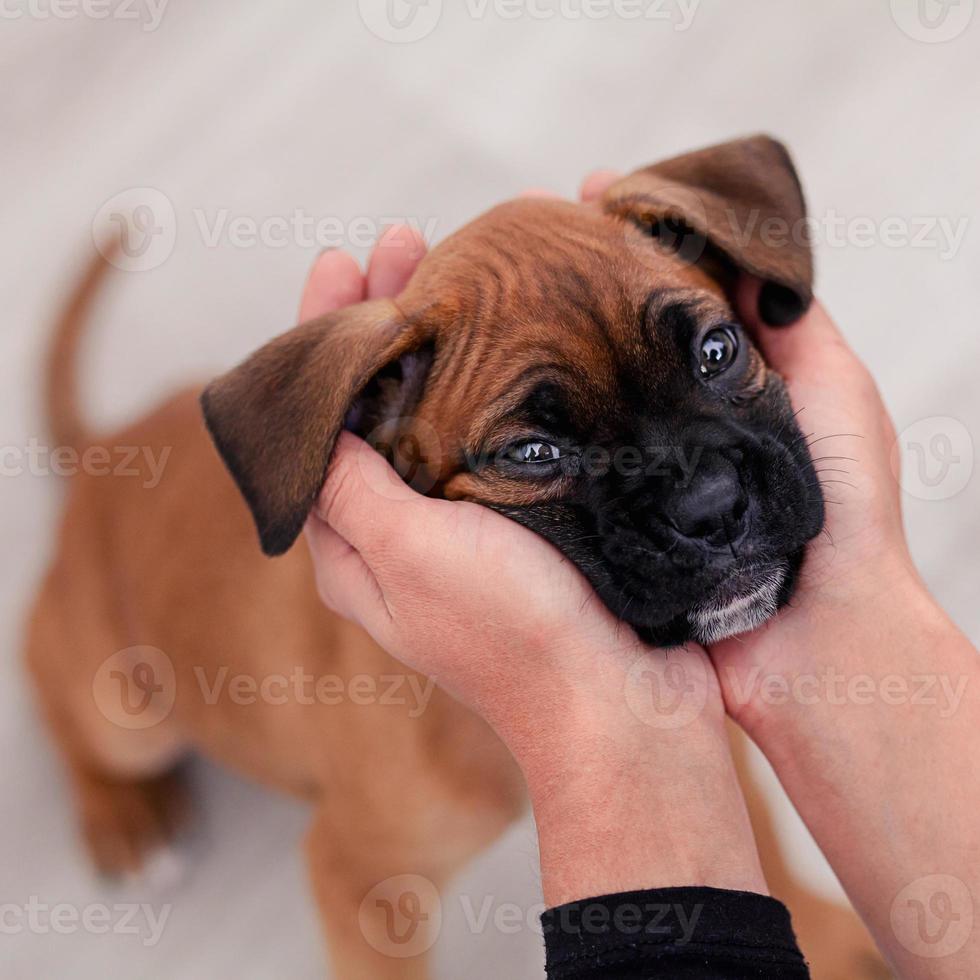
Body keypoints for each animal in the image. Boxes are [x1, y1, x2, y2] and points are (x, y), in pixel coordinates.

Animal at [26, 134, 888, 976]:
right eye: (534, 453)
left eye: (718, 350)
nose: (712, 509)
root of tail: (101, 455)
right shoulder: (363, 882)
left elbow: (756, 844)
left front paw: (820, 931)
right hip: (128, 712)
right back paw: (123, 816)